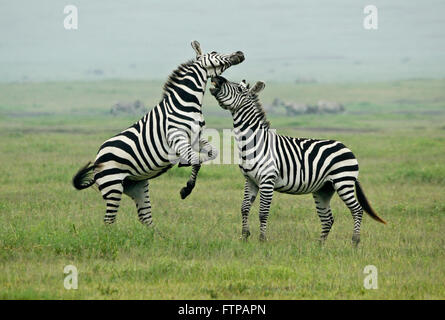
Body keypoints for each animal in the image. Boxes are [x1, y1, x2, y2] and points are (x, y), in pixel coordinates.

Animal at [73, 42, 246, 228]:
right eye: (214, 52)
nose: (240, 53)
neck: (186, 103)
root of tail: (97, 158)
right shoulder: (178, 137)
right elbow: (196, 160)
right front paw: (186, 188)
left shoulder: (196, 138)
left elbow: (211, 153)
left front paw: (186, 168)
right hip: (113, 186)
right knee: (109, 220)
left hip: (136, 186)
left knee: (145, 217)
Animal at [209, 75, 386, 245]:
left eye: (239, 89)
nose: (217, 78)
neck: (254, 142)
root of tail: (346, 147)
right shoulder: (250, 180)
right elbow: (244, 208)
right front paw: (244, 237)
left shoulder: (267, 179)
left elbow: (263, 212)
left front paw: (262, 240)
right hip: (324, 188)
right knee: (328, 218)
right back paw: (319, 245)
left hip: (343, 181)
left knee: (357, 210)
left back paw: (354, 242)